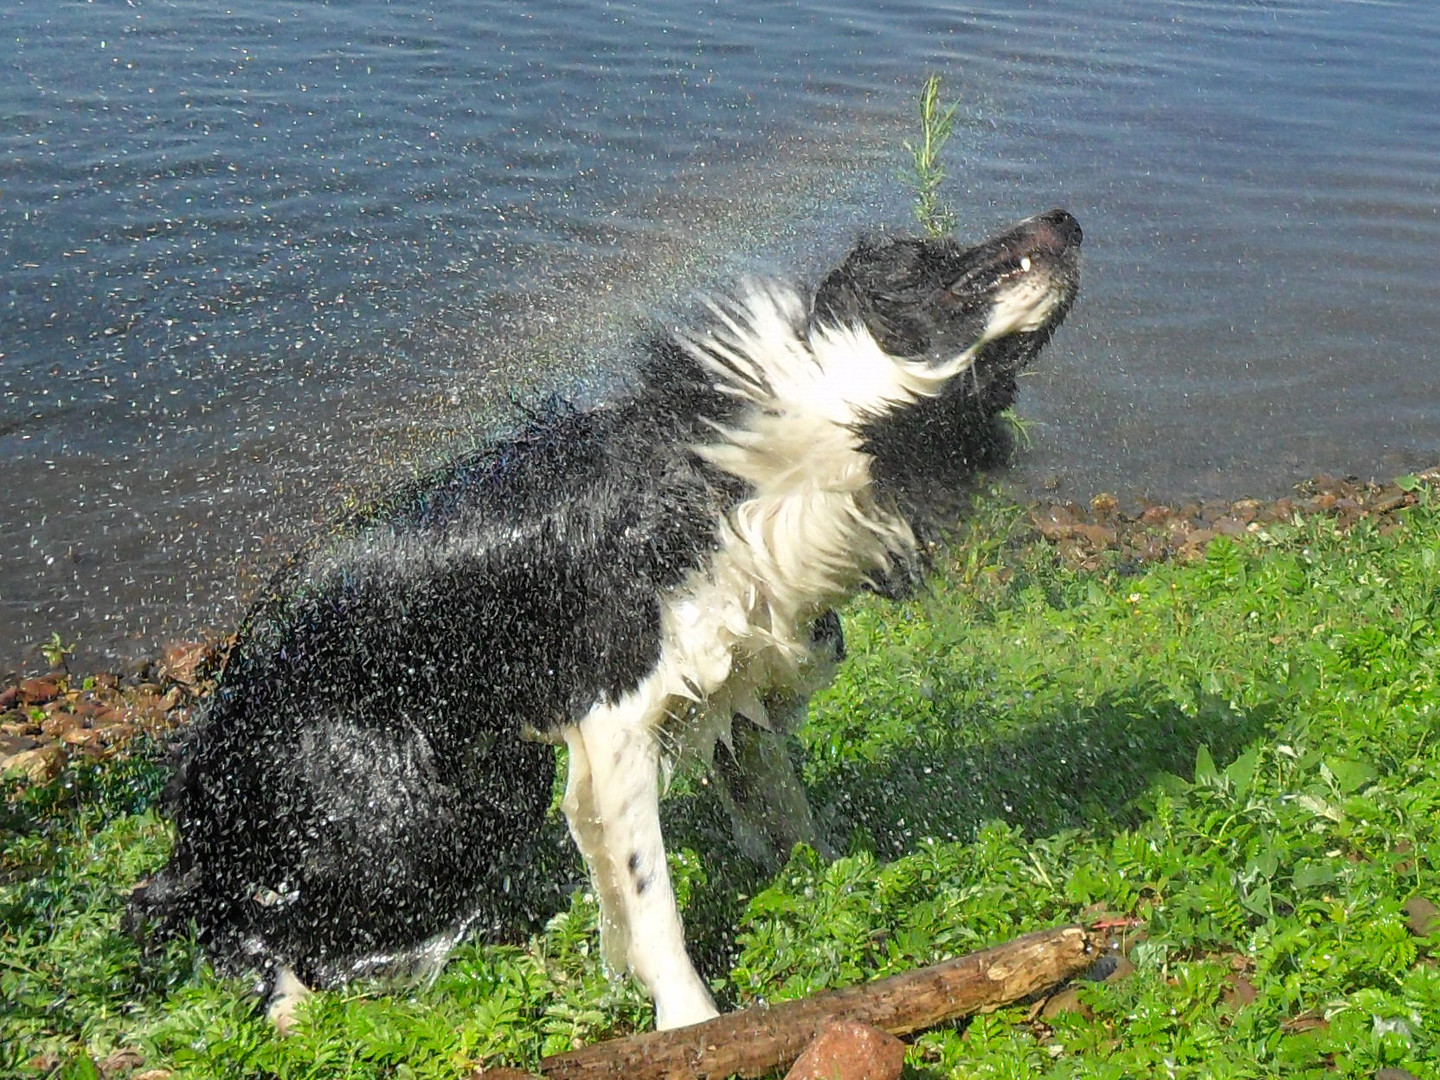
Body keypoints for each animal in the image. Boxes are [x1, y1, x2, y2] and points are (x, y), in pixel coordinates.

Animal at [132, 208, 1082, 1031]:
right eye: (932, 257)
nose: (1067, 219)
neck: (769, 460)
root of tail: (208, 733)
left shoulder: (734, 690)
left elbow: (786, 814)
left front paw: (827, 889)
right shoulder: (616, 724)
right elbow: (652, 899)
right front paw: (689, 1022)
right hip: (414, 813)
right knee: (214, 912)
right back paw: (292, 1003)